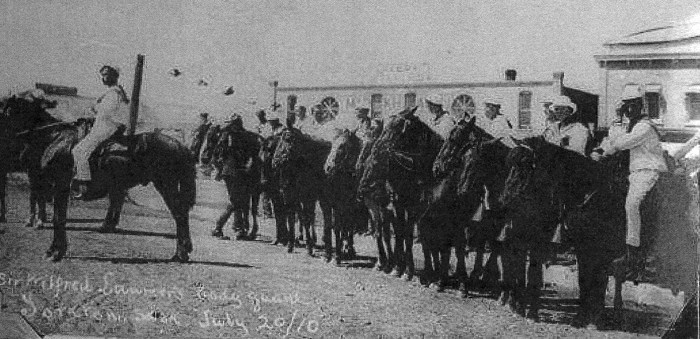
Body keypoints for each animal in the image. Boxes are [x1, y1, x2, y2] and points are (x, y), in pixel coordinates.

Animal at [2, 95, 197, 262]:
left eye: (6, 110)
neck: (56, 139)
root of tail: (181, 146)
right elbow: (55, 213)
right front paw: (54, 249)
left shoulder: (59, 185)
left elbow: (58, 217)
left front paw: (55, 251)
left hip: (166, 185)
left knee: (179, 214)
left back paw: (180, 254)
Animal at [270, 127, 330, 255]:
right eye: (279, 142)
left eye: (288, 139)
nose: (275, 161)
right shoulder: (289, 197)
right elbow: (292, 218)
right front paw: (290, 244)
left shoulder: (308, 197)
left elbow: (306, 218)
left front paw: (309, 246)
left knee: (313, 215)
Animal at [360, 107, 442, 282]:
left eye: (397, 126)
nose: (379, 146)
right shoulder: (396, 205)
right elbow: (399, 234)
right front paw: (398, 268)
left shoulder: (414, 209)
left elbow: (409, 236)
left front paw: (408, 270)